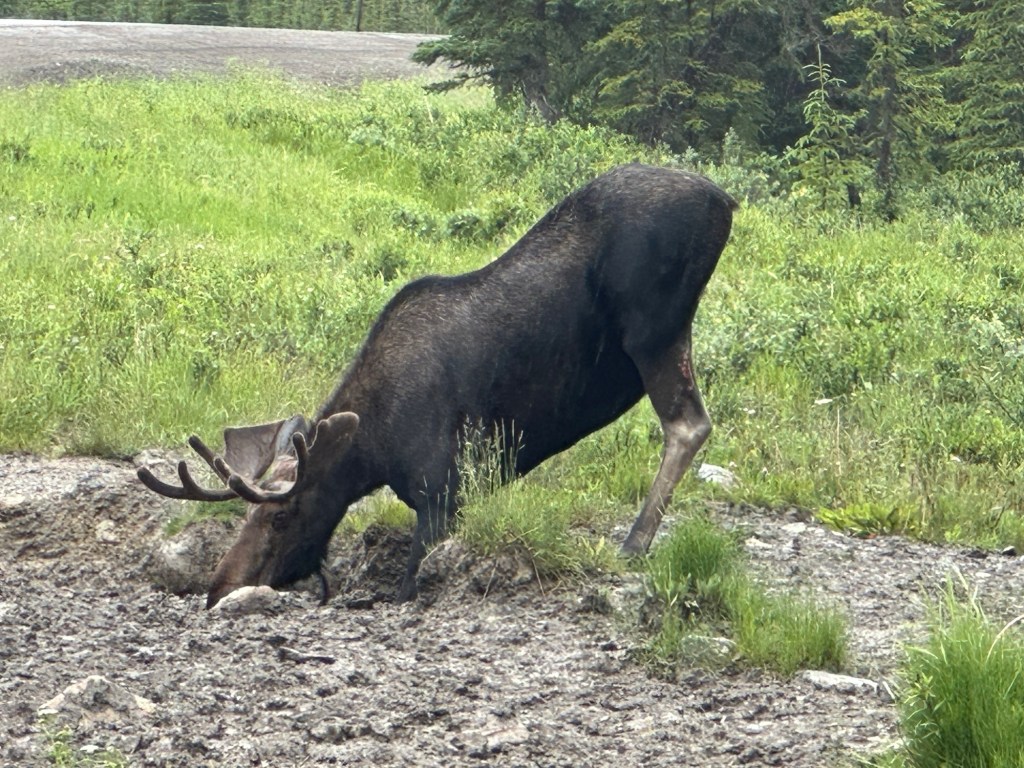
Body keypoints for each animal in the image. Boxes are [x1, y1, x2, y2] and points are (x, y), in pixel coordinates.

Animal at [137, 163, 737, 608]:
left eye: (282, 515)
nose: (219, 589)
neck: (372, 452)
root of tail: (725, 201)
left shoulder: (443, 495)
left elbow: (408, 586)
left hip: (655, 332)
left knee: (688, 423)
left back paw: (633, 543)